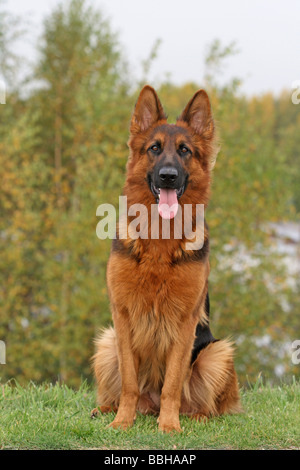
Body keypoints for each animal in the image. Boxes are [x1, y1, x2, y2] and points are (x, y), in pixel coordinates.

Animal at [92, 86, 241, 432]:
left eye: (185, 150)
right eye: (154, 148)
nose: (168, 176)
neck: (160, 236)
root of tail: (151, 404)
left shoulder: (185, 322)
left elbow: (173, 381)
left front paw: (169, 425)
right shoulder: (122, 316)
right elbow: (129, 381)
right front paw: (122, 422)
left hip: (217, 353)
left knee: (204, 402)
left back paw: (194, 415)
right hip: (107, 342)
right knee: (125, 390)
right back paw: (107, 409)